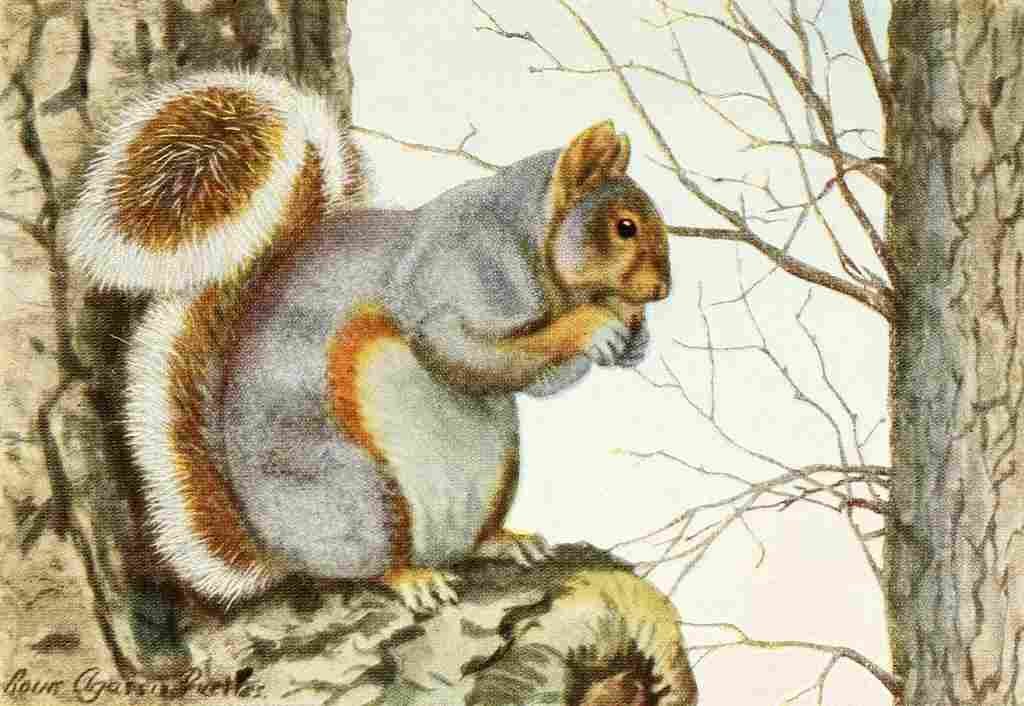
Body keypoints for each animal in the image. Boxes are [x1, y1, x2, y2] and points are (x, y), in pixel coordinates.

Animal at [65, 71, 671, 612]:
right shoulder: (451, 283)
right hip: (359, 497)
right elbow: (466, 357)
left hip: (498, 470)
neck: (528, 240)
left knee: (468, 542)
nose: (663, 290)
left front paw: (632, 332)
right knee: (374, 564)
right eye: (624, 227)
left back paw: (504, 542)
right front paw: (594, 323)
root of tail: (271, 545)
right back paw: (412, 578)